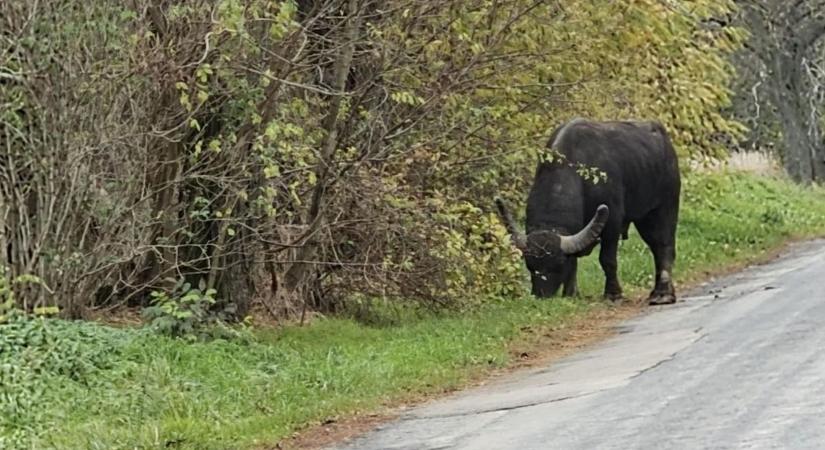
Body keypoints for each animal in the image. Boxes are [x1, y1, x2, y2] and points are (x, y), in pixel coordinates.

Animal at [492, 117, 680, 306]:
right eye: (529, 264)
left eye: (559, 264)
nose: (542, 295)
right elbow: (574, 262)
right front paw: (571, 293)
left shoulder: (612, 222)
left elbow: (607, 259)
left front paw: (613, 294)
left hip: (663, 208)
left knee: (663, 246)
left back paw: (662, 294)